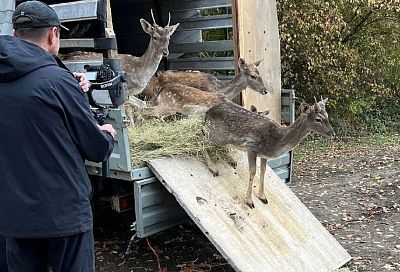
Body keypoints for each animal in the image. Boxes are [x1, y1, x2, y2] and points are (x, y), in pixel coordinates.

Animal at [202, 98, 336, 208]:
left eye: (327, 116)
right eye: (318, 119)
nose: (333, 134)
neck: (276, 142)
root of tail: (208, 113)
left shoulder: (264, 155)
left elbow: (263, 172)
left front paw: (263, 197)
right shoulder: (252, 146)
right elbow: (253, 171)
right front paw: (249, 201)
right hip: (217, 135)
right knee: (201, 139)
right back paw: (213, 168)